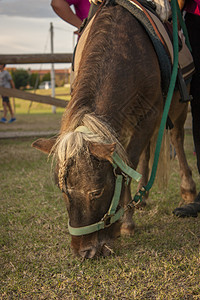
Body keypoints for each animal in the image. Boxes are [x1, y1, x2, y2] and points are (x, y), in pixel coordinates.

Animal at [32, 2, 196, 258]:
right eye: (63, 190)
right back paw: (142, 196)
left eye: (97, 192)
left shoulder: (152, 113)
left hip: (178, 104)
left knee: (176, 138)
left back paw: (187, 190)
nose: (83, 252)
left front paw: (126, 223)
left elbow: (129, 164)